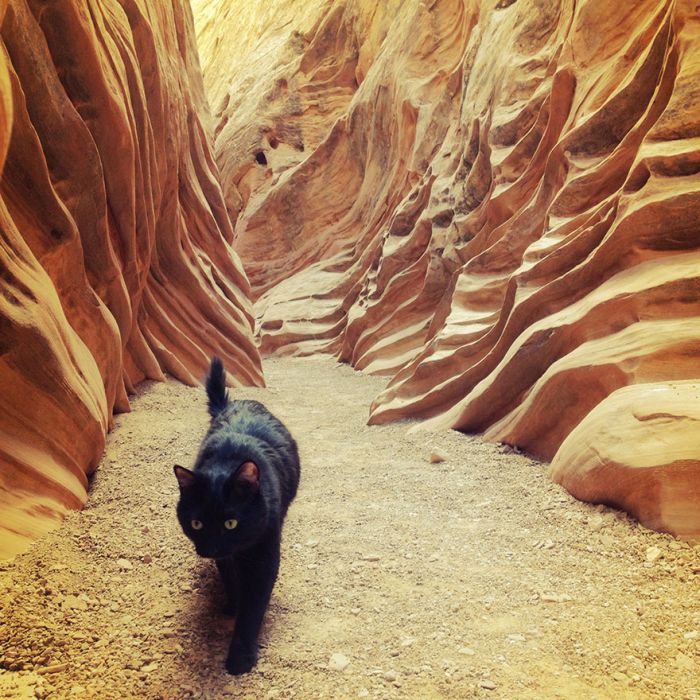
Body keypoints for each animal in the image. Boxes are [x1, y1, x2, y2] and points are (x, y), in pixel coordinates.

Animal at [174, 358, 300, 676]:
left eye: (231, 523)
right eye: (196, 523)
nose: (210, 548)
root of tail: (238, 402)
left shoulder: (265, 555)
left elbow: (253, 608)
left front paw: (240, 660)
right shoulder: (226, 557)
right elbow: (230, 580)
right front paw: (233, 604)